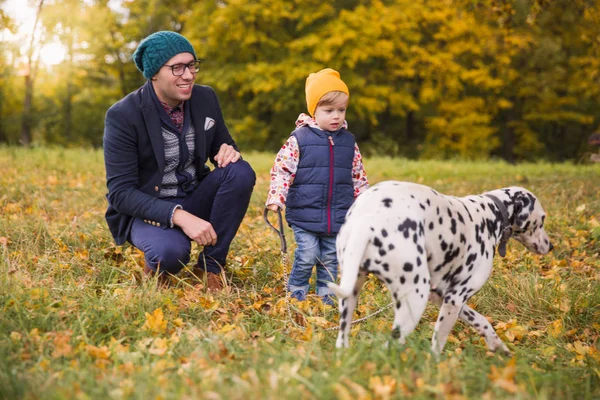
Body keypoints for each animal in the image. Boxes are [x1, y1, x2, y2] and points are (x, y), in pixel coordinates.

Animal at [328, 180, 552, 354]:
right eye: (542, 219)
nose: (551, 246)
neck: (492, 213)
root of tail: (369, 221)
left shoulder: (443, 295)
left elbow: (482, 321)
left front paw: (498, 346)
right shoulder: (454, 299)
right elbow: (438, 342)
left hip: (350, 299)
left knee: (342, 340)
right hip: (415, 299)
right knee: (390, 346)